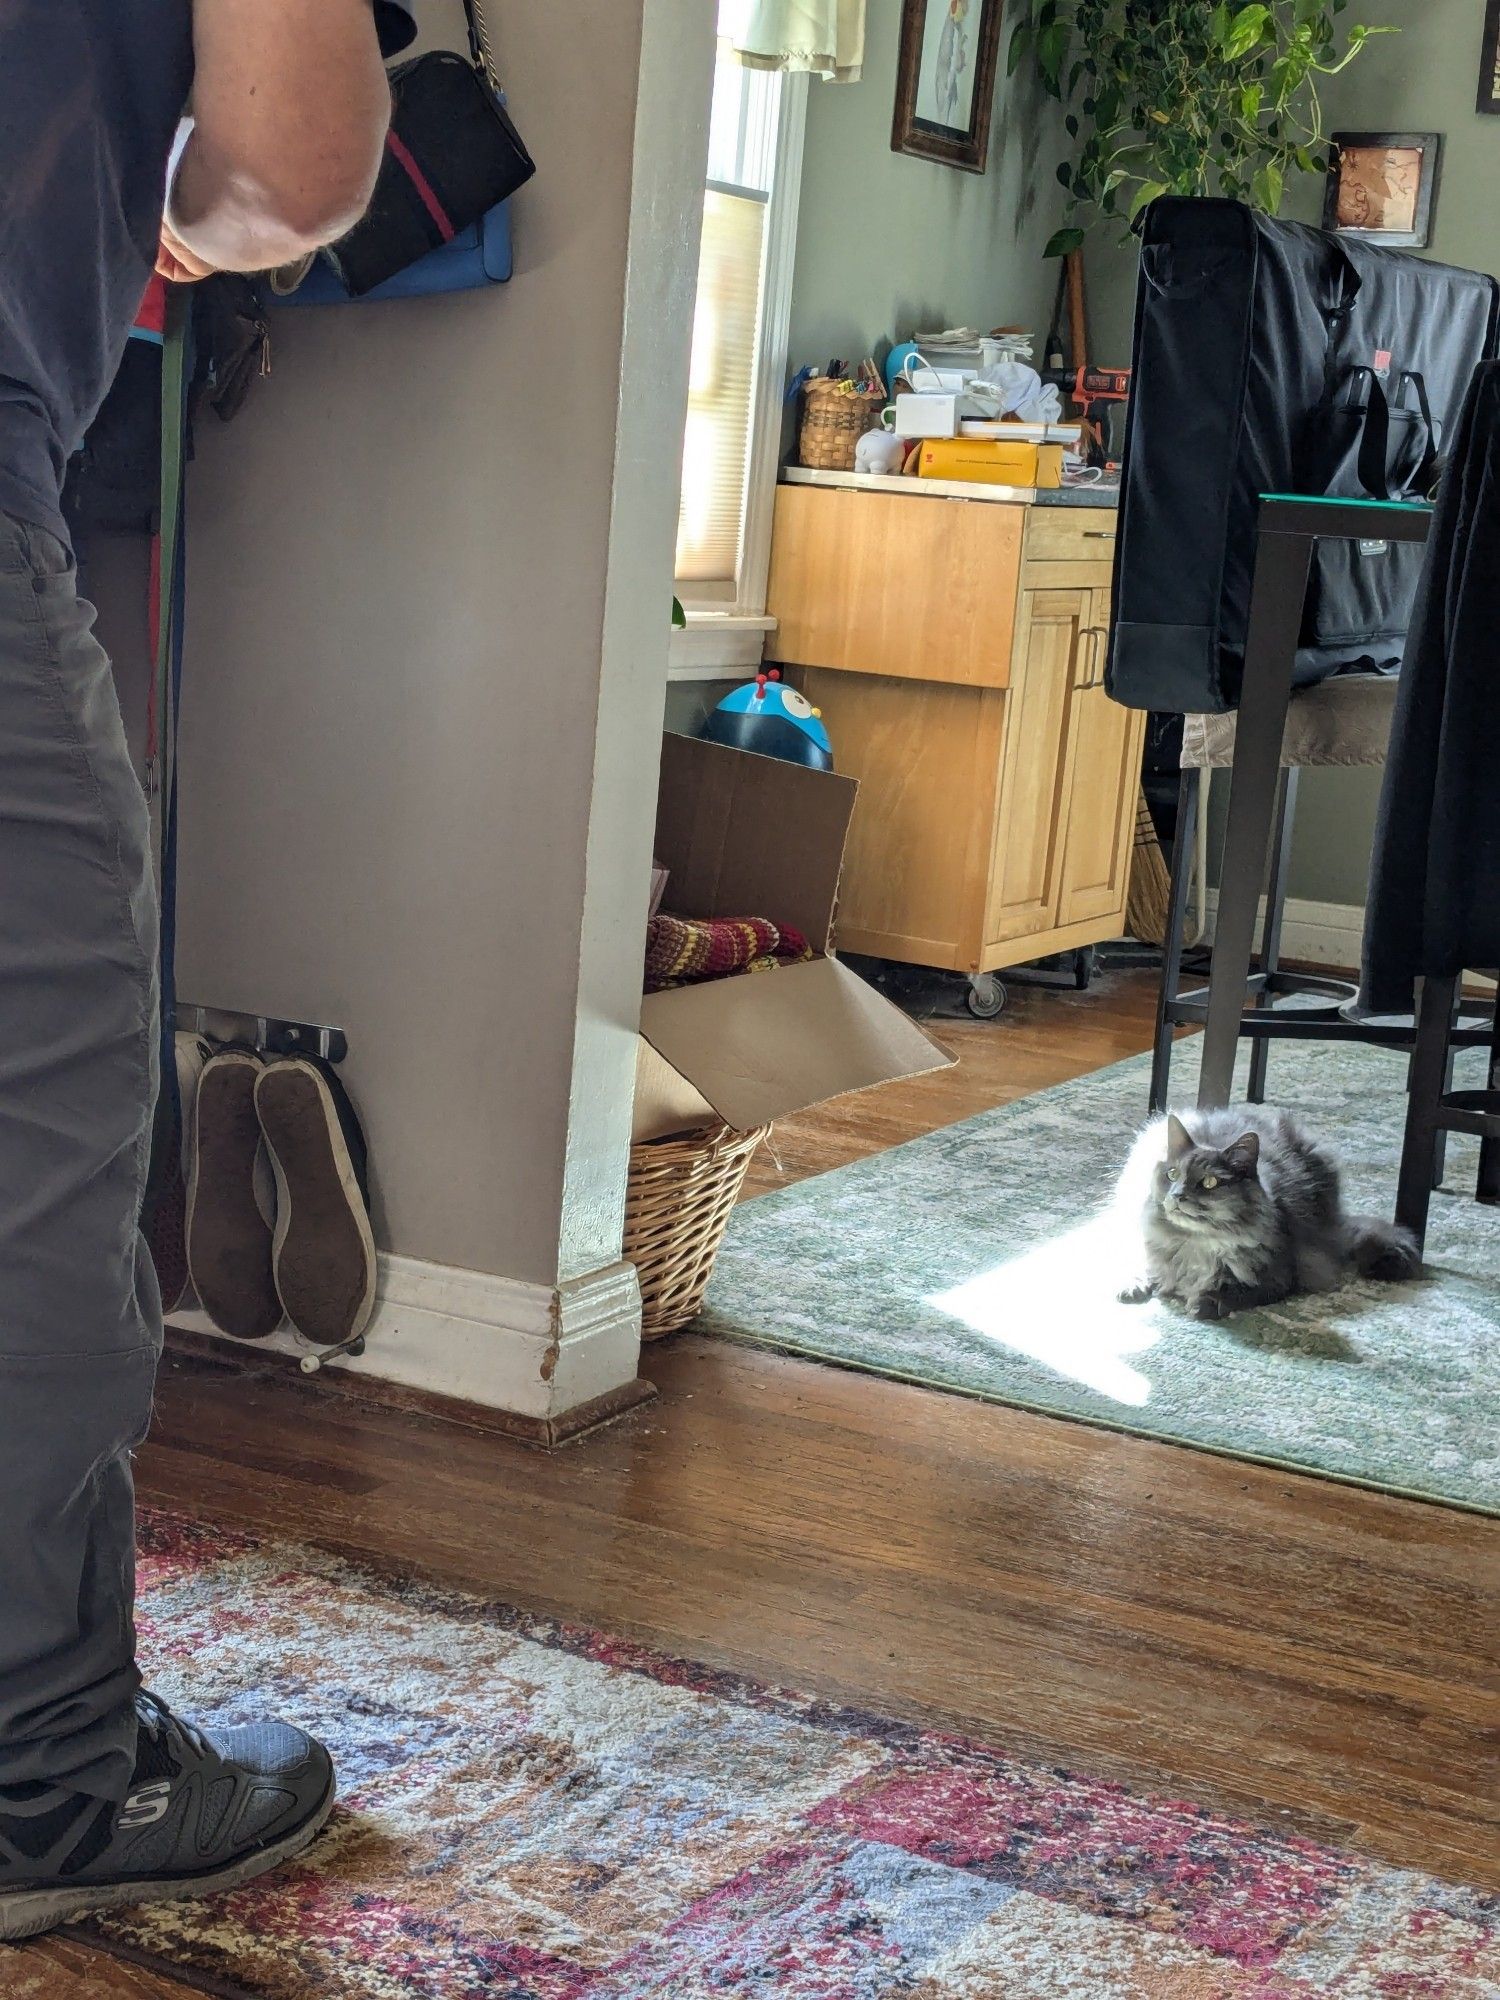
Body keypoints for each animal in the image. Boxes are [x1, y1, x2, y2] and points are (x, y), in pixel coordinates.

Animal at [1120, 1104, 1424, 1320]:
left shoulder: (1280, 1277)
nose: (1177, 1195)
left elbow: (1237, 1291)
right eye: (1172, 1174)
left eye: (1209, 1182)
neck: (1195, 1245)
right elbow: (1143, 1265)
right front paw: (1136, 1283)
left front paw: (1204, 1302)